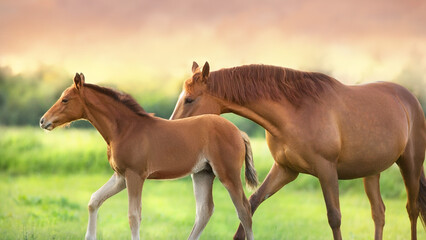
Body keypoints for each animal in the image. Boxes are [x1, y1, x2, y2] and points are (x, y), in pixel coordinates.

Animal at [40, 73, 260, 240]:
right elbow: (94, 200)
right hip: (202, 174)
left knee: (244, 210)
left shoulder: (135, 175)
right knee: (204, 211)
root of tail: (238, 132)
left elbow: (133, 216)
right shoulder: (120, 177)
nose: (43, 121)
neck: (124, 129)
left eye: (65, 99)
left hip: (227, 174)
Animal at [170, 62, 426, 240]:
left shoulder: (326, 170)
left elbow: (334, 217)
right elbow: (252, 203)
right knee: (379, 213)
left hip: (410, 164)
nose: (173, 127)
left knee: (412, 209)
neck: (296, 111)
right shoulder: (285, 170)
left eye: (190, 99)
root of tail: (410, 99)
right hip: (371, 172)